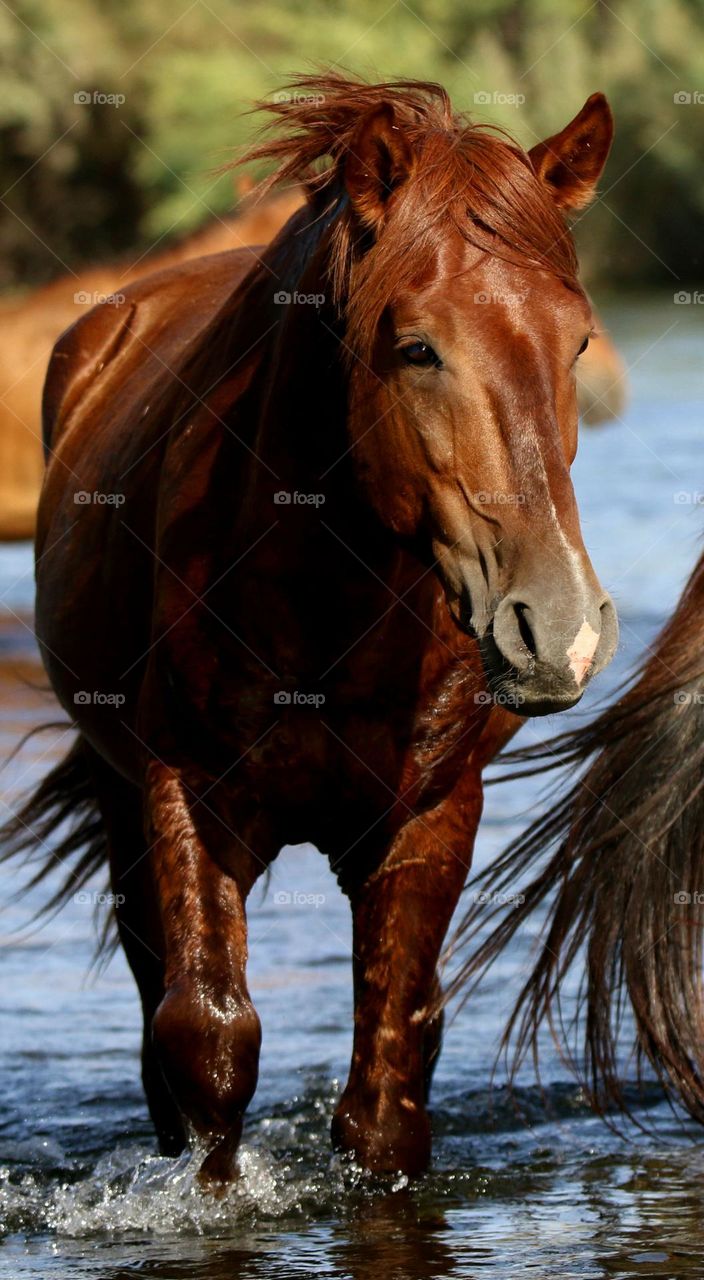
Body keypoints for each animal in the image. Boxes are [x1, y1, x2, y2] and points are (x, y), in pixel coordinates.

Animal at [3, 73, 618, 1179]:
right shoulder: (185, 790)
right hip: (118, 795)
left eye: (577, 340)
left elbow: (388, 1076)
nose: (557, 629)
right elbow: (206, 1041)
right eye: (415, 347)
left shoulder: (429, 814)